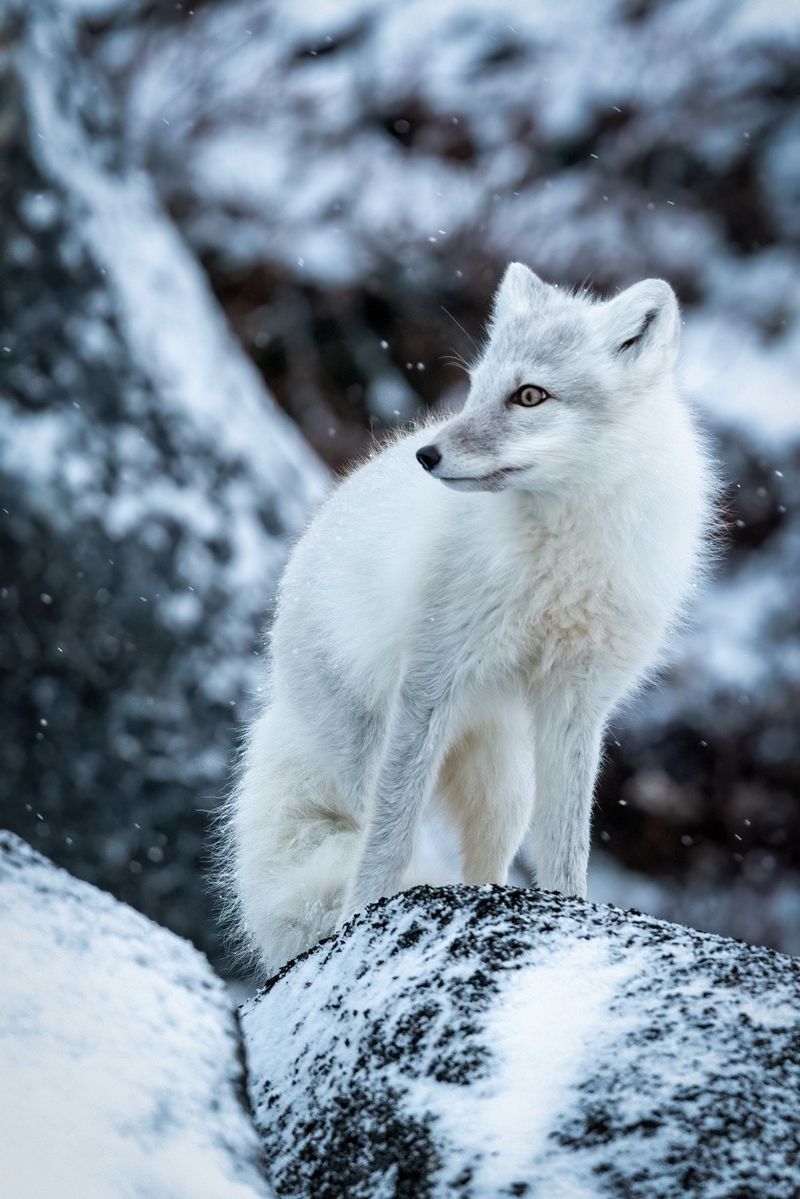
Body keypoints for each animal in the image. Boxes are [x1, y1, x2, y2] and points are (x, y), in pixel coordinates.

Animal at [230, 262, 714, 973]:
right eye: (477, 388)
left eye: (530, 396)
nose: (426, 456)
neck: (562, 551)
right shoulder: (431, 677)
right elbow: (389, 840)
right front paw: (360, 920)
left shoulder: (576, 702)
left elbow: (567, 845)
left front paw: (571, 916)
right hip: (373, 747)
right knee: (385, 826)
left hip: (506, 784)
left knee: (488, 862)